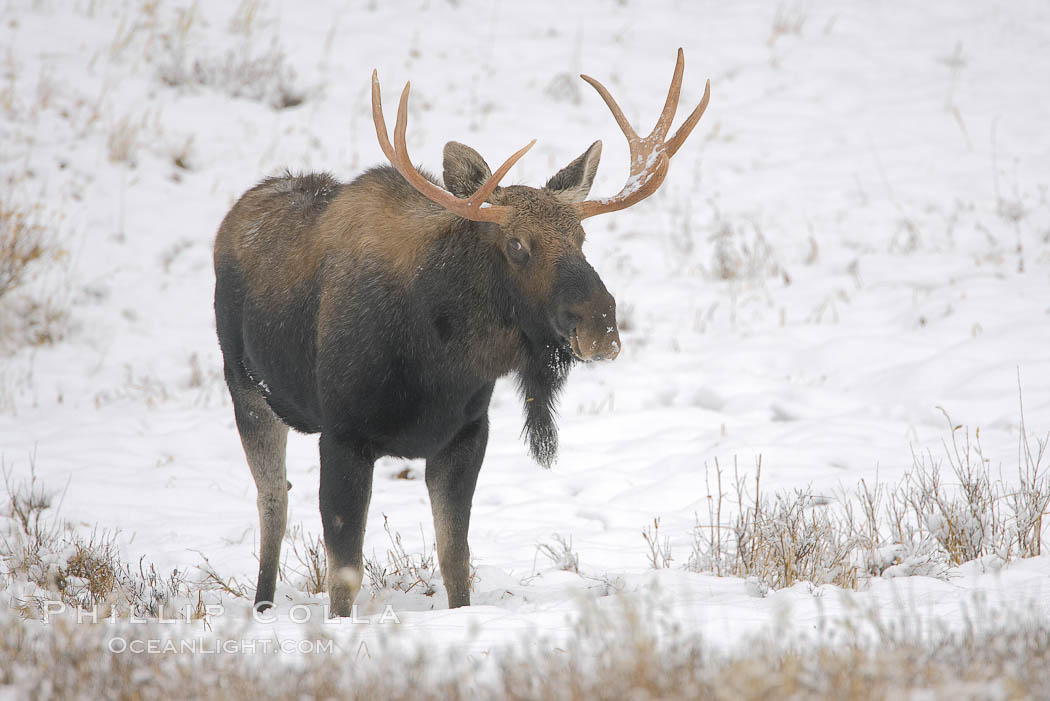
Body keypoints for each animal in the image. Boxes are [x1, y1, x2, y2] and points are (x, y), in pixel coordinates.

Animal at [209, 48, 709, 612]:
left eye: (581, 236)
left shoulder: (466, 433)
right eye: (516, 243)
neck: (438, 360)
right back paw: (262, 605)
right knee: (272, 501)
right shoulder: (343, 435)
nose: (601, 325)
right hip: (245, 387)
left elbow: (455, 560)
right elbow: (343, 576)